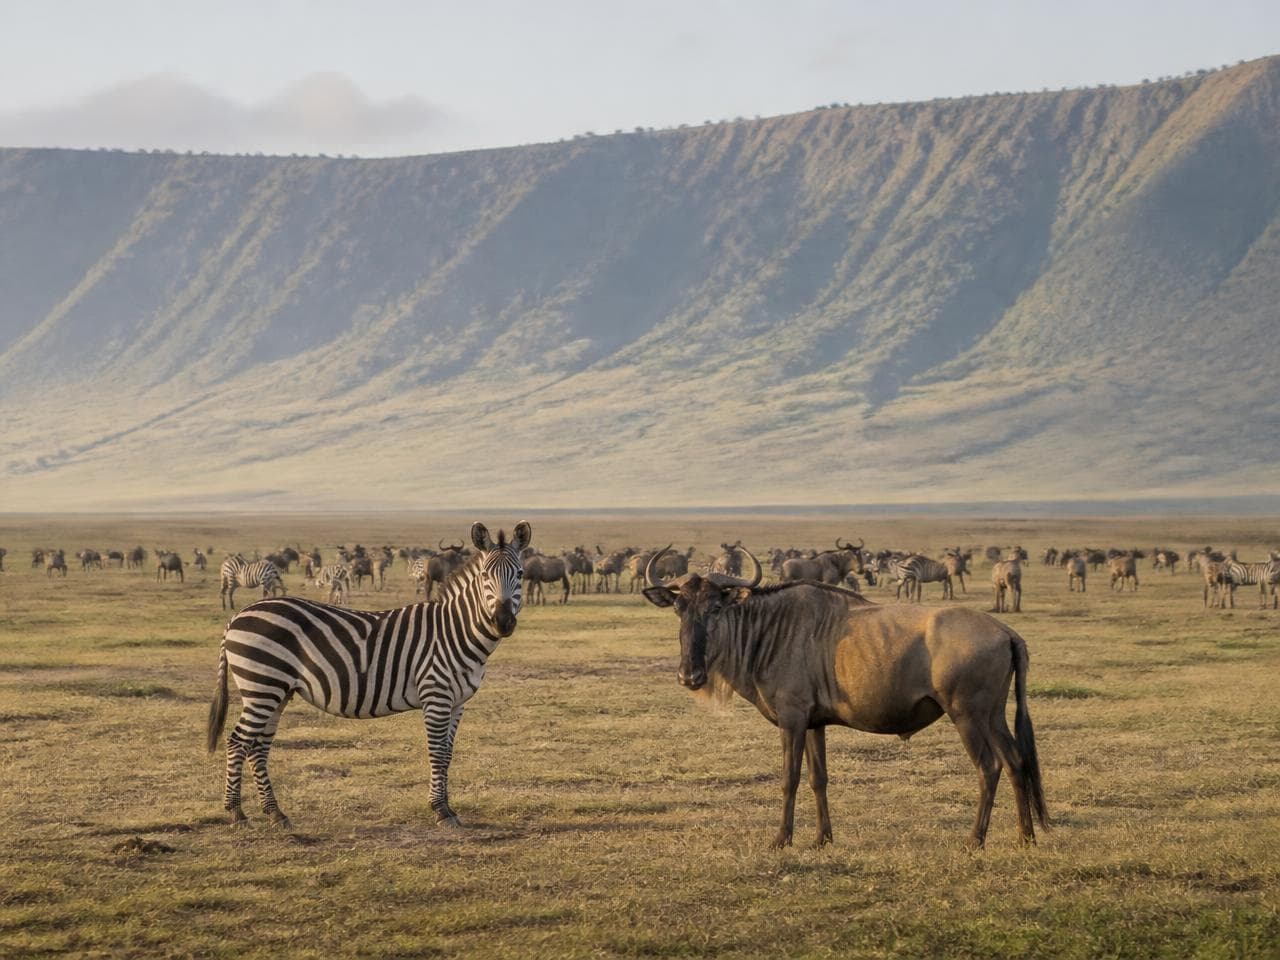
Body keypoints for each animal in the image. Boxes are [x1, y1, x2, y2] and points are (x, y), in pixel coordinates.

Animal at [206, 521, 530, 828]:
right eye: (485, 575)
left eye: (521, 574)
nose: (503, 622)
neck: (455, 630)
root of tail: (237, 616)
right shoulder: (435, 695)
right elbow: (437, 752)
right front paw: (441, 810)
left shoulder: (458, 702)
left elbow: (448, 753)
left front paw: (447, 807)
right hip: (262, 686)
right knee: (238, 742)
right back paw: (236, 813)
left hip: (276, 691)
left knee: (258, 746)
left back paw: (275, 813)